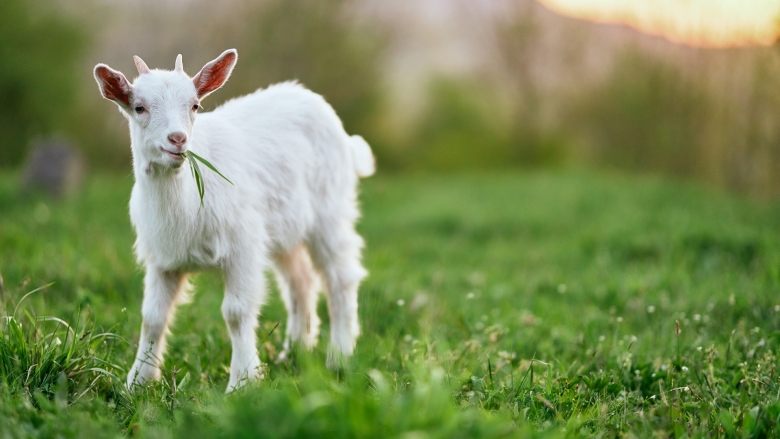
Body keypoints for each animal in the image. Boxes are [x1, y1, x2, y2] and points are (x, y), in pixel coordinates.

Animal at [93, 49, 374, 391]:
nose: (178, 139)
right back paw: (295, 352)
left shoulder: (243, 246)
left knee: (340, 277)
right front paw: (137, 382)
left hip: (329, 211)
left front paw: (242, 382)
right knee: (301, 280)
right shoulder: (163, 258)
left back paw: (339, 357)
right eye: (139, 107)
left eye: (195, 105)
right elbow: (153, 317)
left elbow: (236, 312)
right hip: (284, 228)